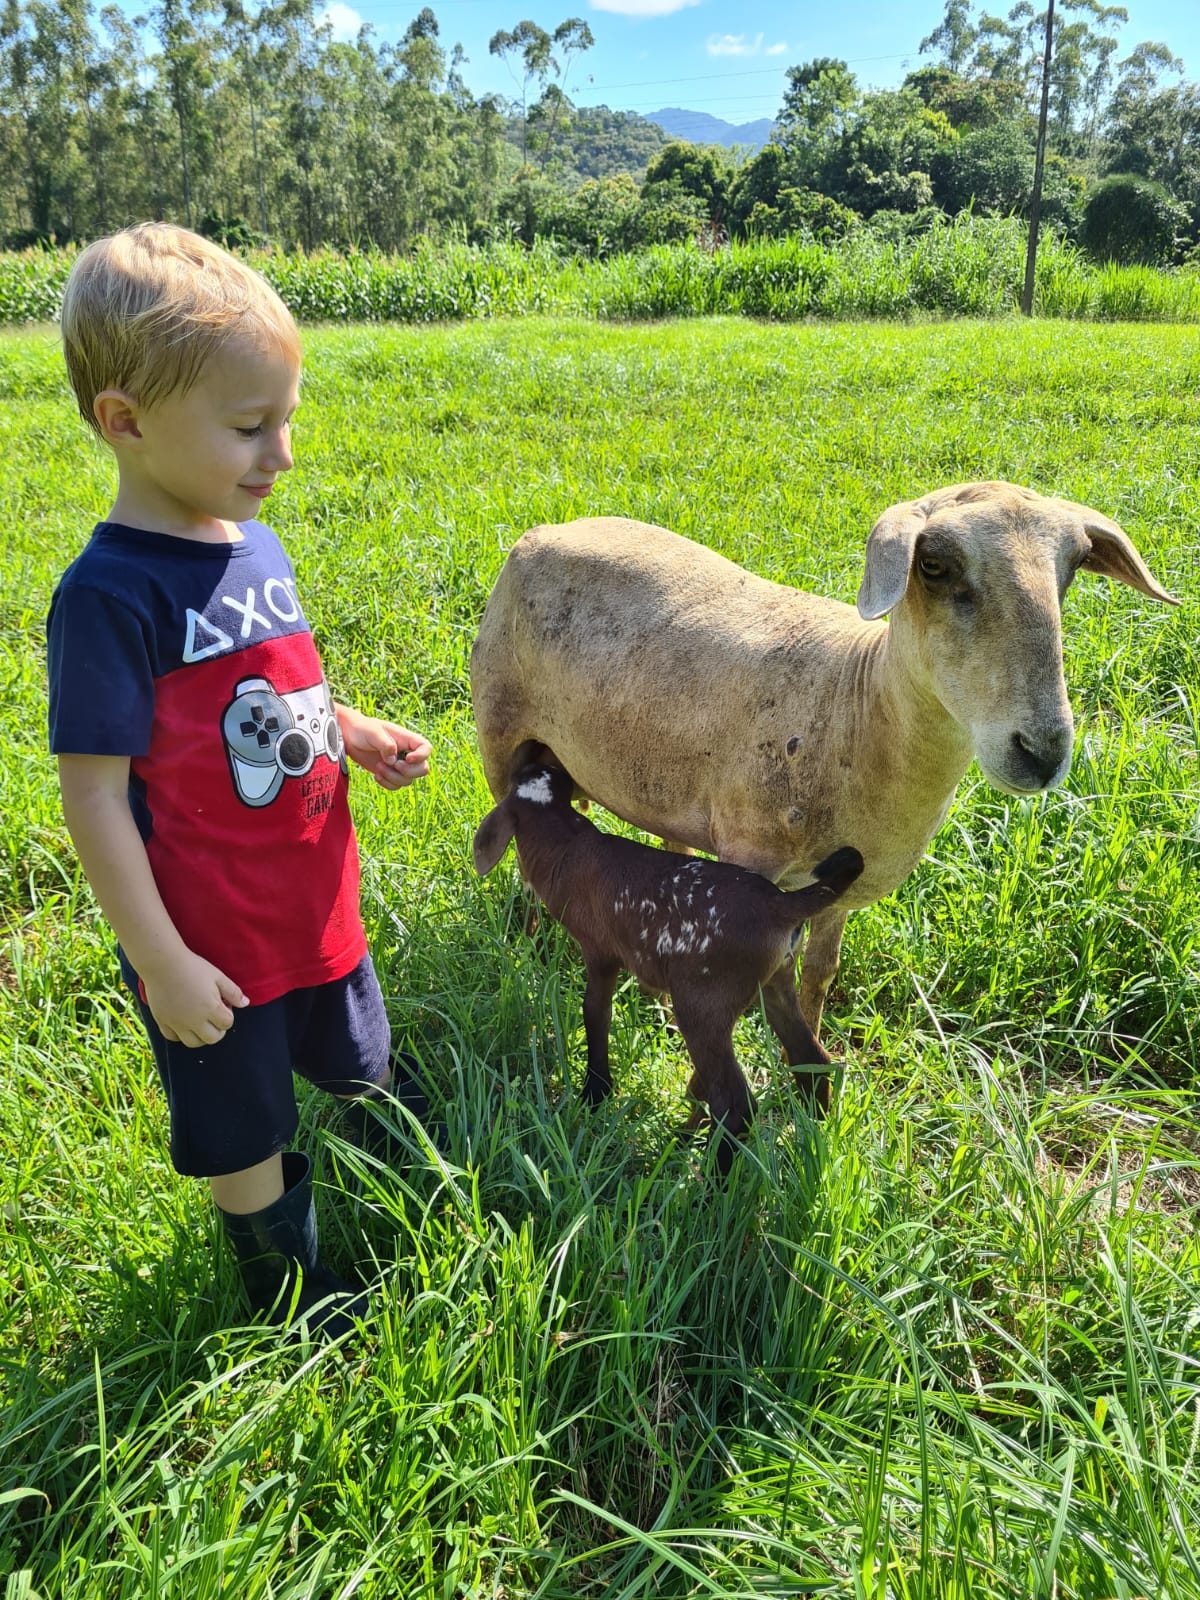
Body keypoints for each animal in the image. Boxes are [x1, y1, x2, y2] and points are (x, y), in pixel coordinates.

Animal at [473, 480, 1184, 1113]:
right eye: (933, 565)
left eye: (1072, 569)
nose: (1042, 751)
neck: (857, 708)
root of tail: (551, 527)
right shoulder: (750, 863)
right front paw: (707, 1100)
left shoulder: (839, 884)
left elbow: (818, 974)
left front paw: (804, 1067)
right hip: (499, 733)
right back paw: (534, 947)